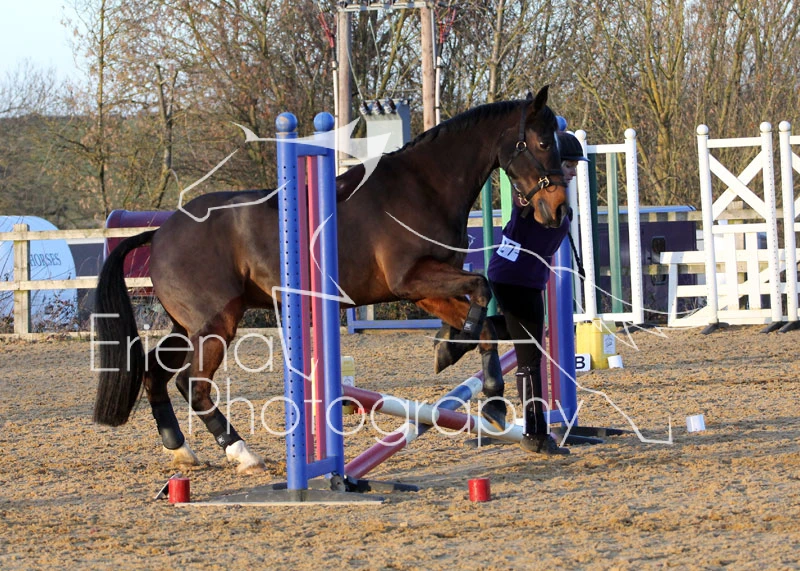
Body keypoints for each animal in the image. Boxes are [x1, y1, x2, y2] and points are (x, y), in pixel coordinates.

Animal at [92, 85, 568, 473]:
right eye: (543, 142)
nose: (559, 210)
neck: (425, 187)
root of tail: (160, 232)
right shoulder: (412, 279)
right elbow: (481, 292)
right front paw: (460, 353)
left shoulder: (424, 288)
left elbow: (485, 320)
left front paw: (480, 385)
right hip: (215, 325)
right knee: (192, 385)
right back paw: (242, 453)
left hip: (186, 326)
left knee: (154, 373)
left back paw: (180, 449)